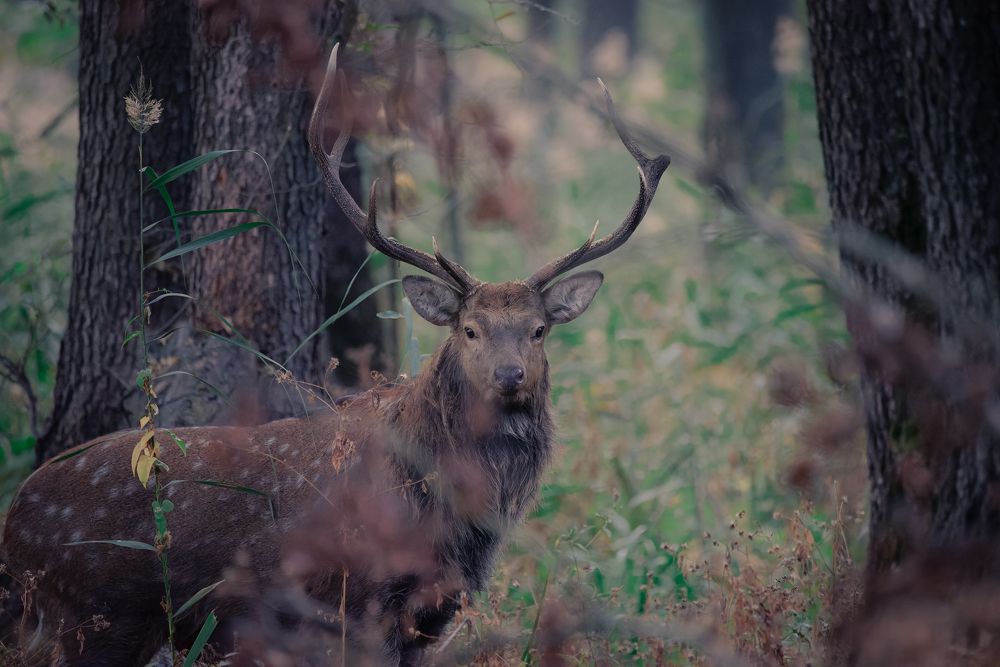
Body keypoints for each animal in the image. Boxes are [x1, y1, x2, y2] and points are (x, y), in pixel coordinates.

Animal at [1, 44, 669, 666]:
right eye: (470, 329)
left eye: (538, 330)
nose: (511, 376)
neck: (454, 521)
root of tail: (13, 529)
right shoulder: (362, 602)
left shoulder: (432, 614)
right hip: (96, 617)